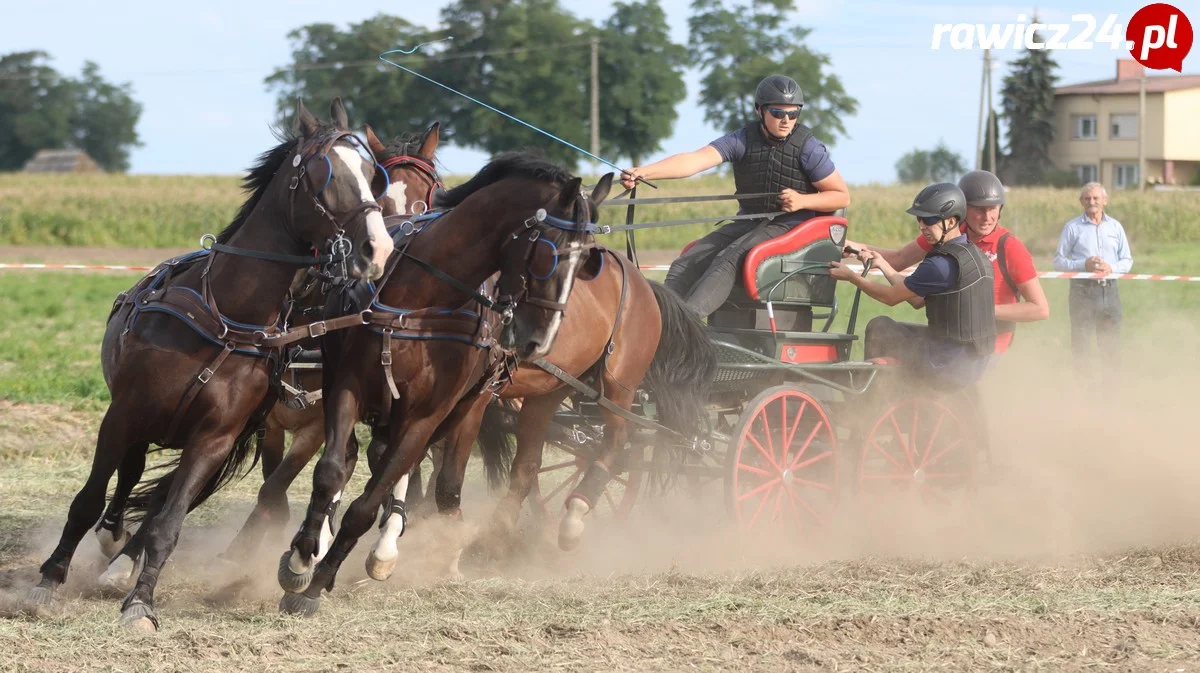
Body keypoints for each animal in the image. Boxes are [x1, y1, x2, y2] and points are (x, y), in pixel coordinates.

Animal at [27, 99, 393, 628]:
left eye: (370, 174)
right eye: (324, 173)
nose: (378, 248)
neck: (226, 317)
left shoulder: (216, 439)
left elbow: (170, 521)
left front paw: (141, 602)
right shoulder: (123, 414)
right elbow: (88, 499)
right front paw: (50, 579)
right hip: (140, 422)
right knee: (129, 474)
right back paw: (111, 540)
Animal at [276, 152, 614, 614]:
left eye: (586, 263)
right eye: (550, 252)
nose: (539, 341)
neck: (421, 301)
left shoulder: (426, 415)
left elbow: (368, 503)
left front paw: (319, 583)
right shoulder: (347, 386)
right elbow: (329, 472)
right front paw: (302, 557)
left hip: (472, 405)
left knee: (439, 481)